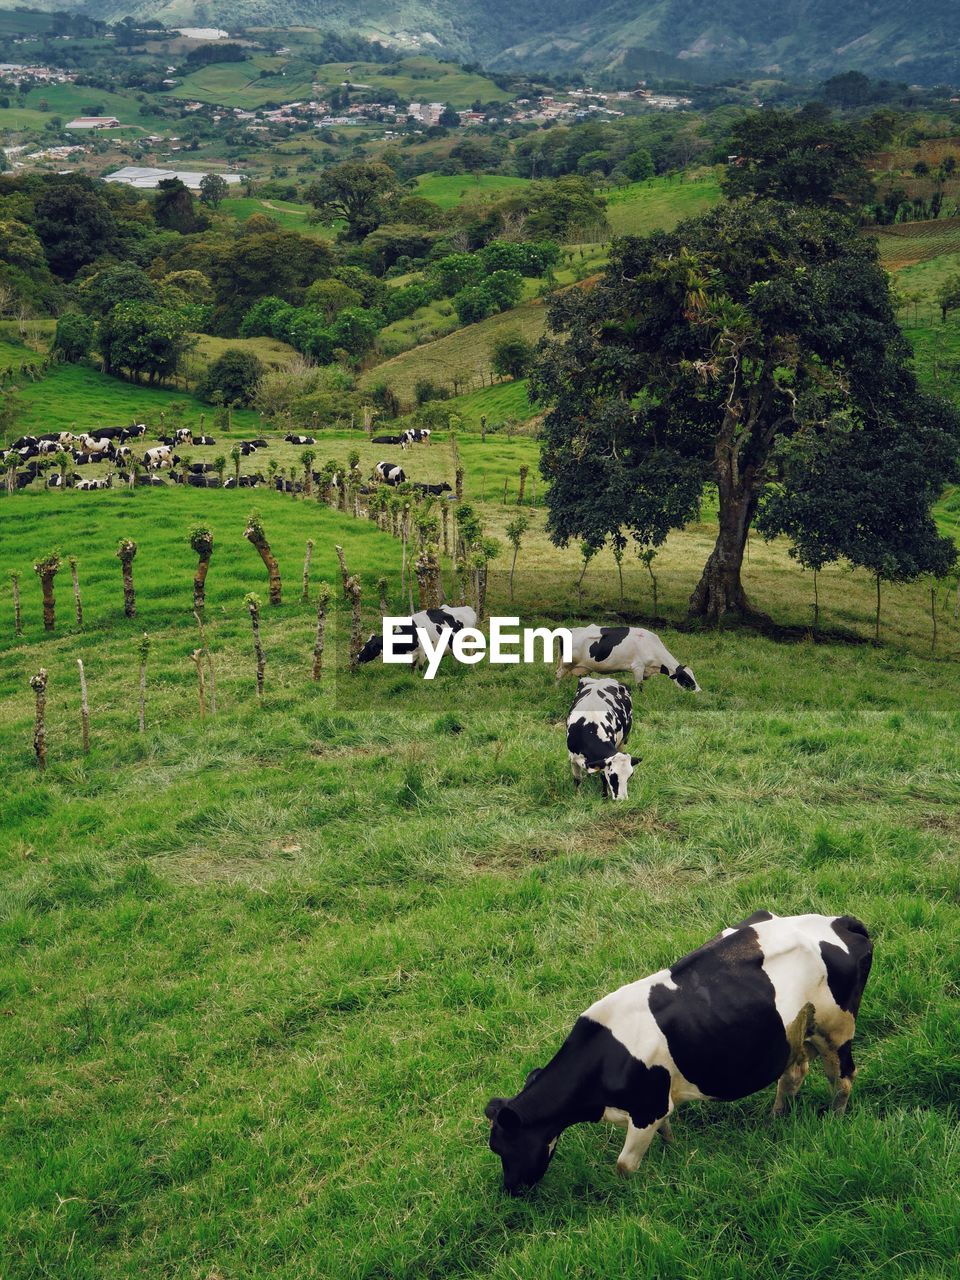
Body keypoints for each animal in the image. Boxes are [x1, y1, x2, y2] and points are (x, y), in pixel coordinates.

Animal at [488, 906, 870, 1192]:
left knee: (843, 1077)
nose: (512, 1190)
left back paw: (834, 1120)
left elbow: (624, 1165)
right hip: (796, 1031)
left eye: (505, 1146)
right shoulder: (659, 1101)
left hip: (836, 1029)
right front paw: (675, 1154)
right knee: (793, 1073)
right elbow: (667, 1132)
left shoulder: (647, 1107)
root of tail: (839, 921)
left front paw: (629, 1194)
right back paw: (774, 1119)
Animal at [555, 627, 701, 696]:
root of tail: (570, 629)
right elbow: (640, 687)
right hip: (567, 664)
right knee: (557, 675)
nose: (699, 691)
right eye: (687, 680)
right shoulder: (638, 667)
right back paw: (556, 690)